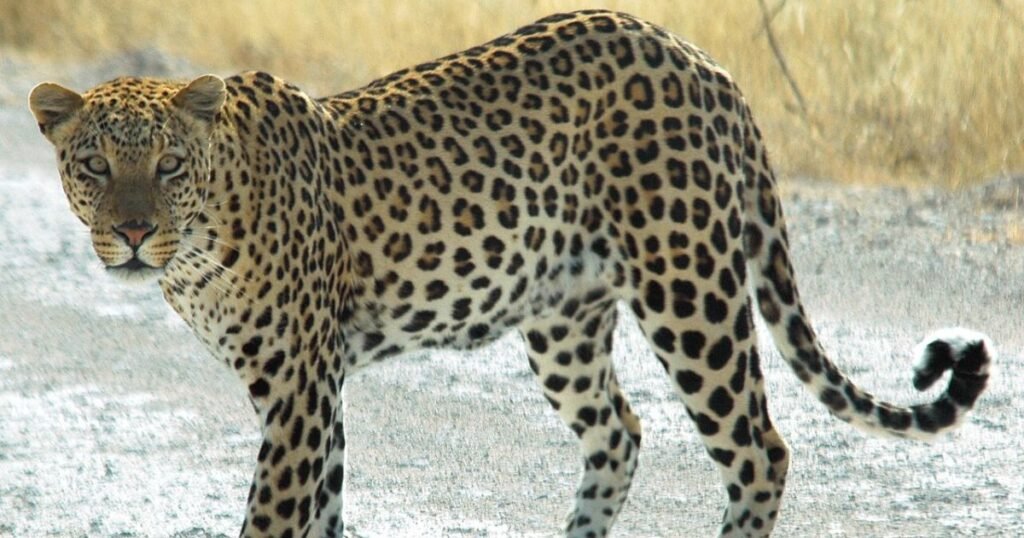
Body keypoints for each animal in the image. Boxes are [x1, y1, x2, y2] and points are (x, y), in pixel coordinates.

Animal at [28, 9, 992, 538]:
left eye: (167, 166)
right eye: (94, 167)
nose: (133, 234)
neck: (200, 241)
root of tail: (703, 61)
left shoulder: (298, 386)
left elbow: (272, 516)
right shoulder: (317, 390)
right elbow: (323, 507)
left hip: (690, 287)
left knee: (760, 448)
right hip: (563, 319)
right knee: (621, 431)